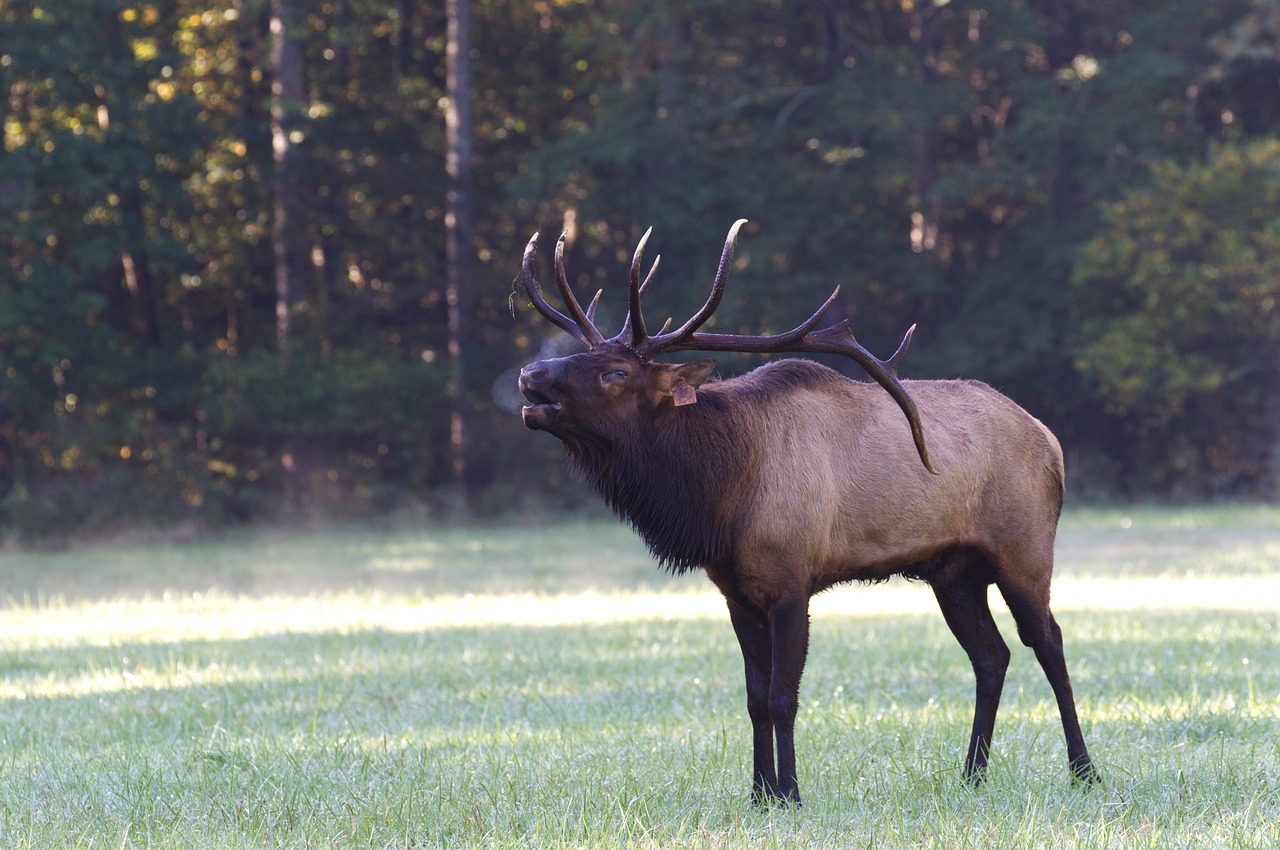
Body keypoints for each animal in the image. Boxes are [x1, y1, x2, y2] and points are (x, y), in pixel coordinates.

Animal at [515, 220, 1100, 805]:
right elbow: (753, 698)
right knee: (991, 656)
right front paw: (759, 795)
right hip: (953, 572)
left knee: (1048, 642)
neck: (721, 494)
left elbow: (782, 697)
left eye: (615, 371)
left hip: (1024, 549)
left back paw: (1084, 771)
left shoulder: (792, 579)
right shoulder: (736, 591)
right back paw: (972, 774)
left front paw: (791, 794)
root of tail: (1050, 441)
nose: (529, 372)